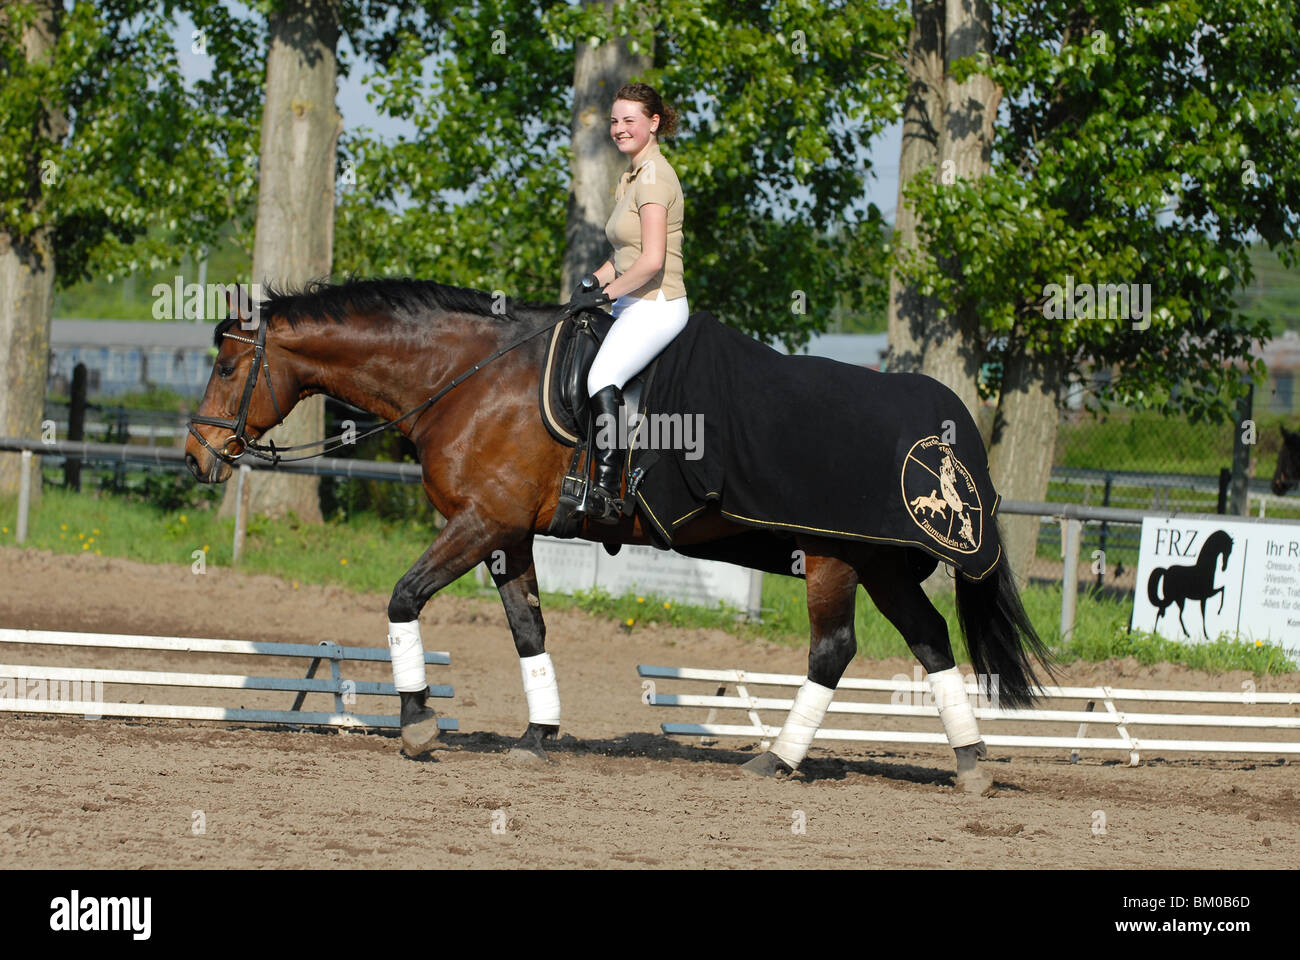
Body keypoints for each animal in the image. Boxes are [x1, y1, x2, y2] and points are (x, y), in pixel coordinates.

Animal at [185, 278, 1055, 790]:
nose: (198, 457)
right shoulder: (507, 534)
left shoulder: (479, 523)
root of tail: (938, 421)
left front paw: (419, 727)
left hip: (834, 556)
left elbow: (402, 601)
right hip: (880, 562)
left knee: (833, 651)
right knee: (931, 639)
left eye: (226, 369)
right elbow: (529, 630)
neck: (469, 375)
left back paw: (776, 758)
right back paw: (970, 763)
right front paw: (537, 734)